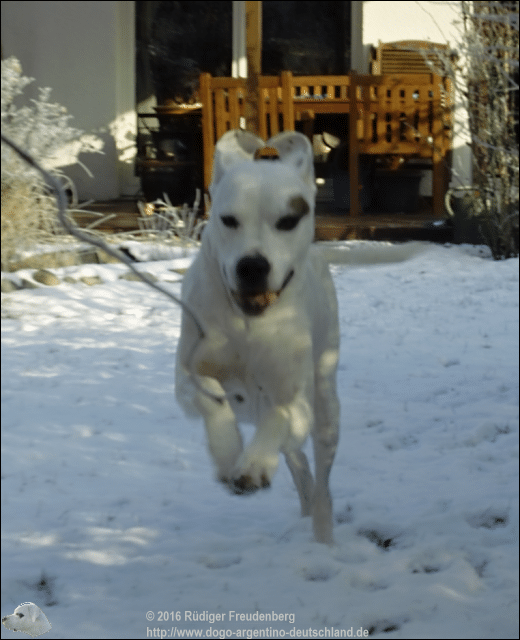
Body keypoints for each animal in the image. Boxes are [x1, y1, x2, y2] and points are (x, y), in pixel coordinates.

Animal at [177, 127, 342, 544]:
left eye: (288, 220)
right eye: (228, 219)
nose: (252, 266)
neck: (246, 323)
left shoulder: (295, 400)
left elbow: (281, 413)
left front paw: (251, 466)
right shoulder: (185, 378)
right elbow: (211, 394)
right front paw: (227, 455)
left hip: (327, 410)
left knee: (321, 479)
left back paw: (322, 532)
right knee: (298, 463)